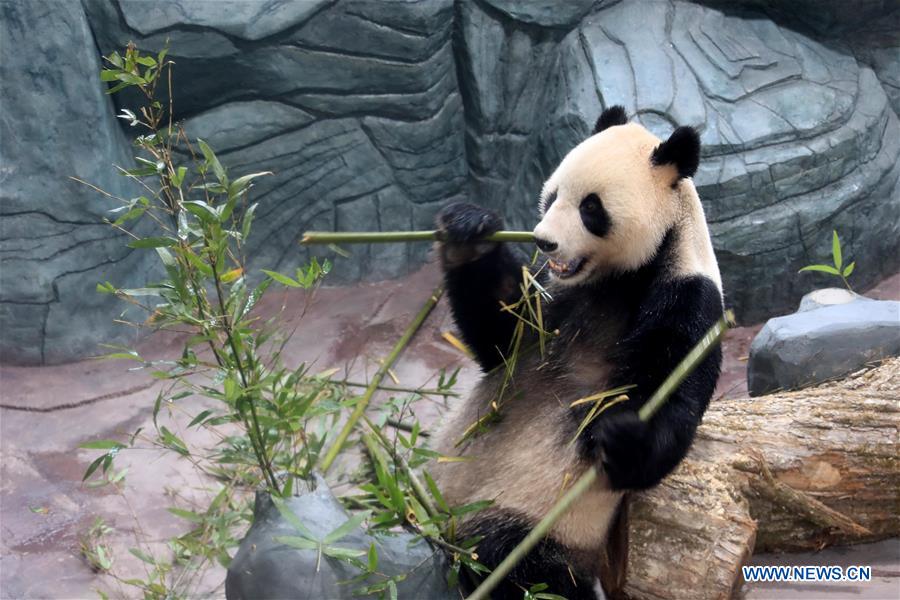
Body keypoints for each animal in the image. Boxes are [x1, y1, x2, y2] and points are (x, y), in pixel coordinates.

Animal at [430, 106, 724, 599]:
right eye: (552, 196)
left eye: (591, 208)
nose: (544, 241)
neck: (620, 279)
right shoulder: (559, 303)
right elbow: (504, 335)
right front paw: (470, 230)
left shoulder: (688, 299)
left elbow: (671, 405)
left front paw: (621, 431)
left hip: (538, 520)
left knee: (514, 564)